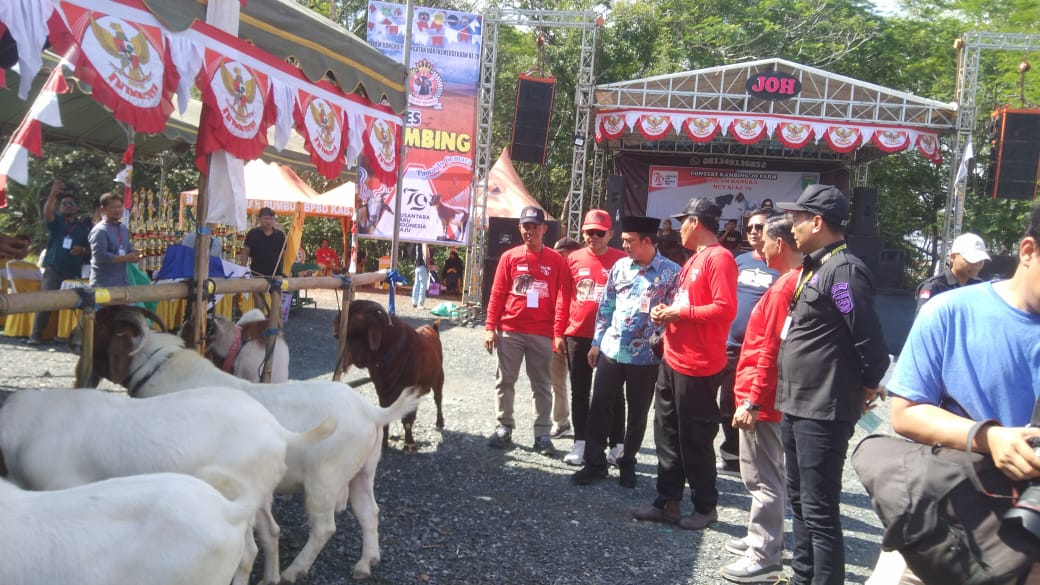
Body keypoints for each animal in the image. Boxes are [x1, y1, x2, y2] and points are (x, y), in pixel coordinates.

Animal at [86, 306, 422, 578]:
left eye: (102, 328)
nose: (79, 338)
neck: (165, 369)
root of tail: (371, 410)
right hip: (362, 471)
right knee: (369, 512)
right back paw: (366, 563)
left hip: (325, 478)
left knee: (324, 527)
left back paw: (294, 571)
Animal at [336, 297, 443, 447]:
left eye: (357, 319)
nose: (337, 321)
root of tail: (432, 330)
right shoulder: (382, 391)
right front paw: (383, 442)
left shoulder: (410, 390)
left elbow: (408, 419)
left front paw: (409, 444)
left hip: (439, 378)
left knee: (438, 399)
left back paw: (440, 423)